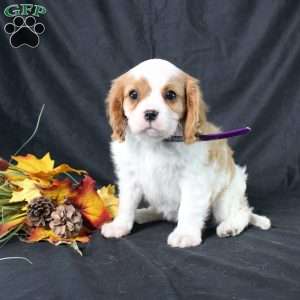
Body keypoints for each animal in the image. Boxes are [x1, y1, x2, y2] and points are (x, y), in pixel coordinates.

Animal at [101, 58, 272, 248]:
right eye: (133, 95)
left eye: (170, 95)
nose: (150, 113)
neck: (155, 143)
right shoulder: (129, 177)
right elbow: (126, 204)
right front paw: (120, 226)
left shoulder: (193, 180)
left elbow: (188, 208)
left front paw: (185, 234)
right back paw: (143, 214)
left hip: (225, 198)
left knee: (243, 213)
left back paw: (230, 227)